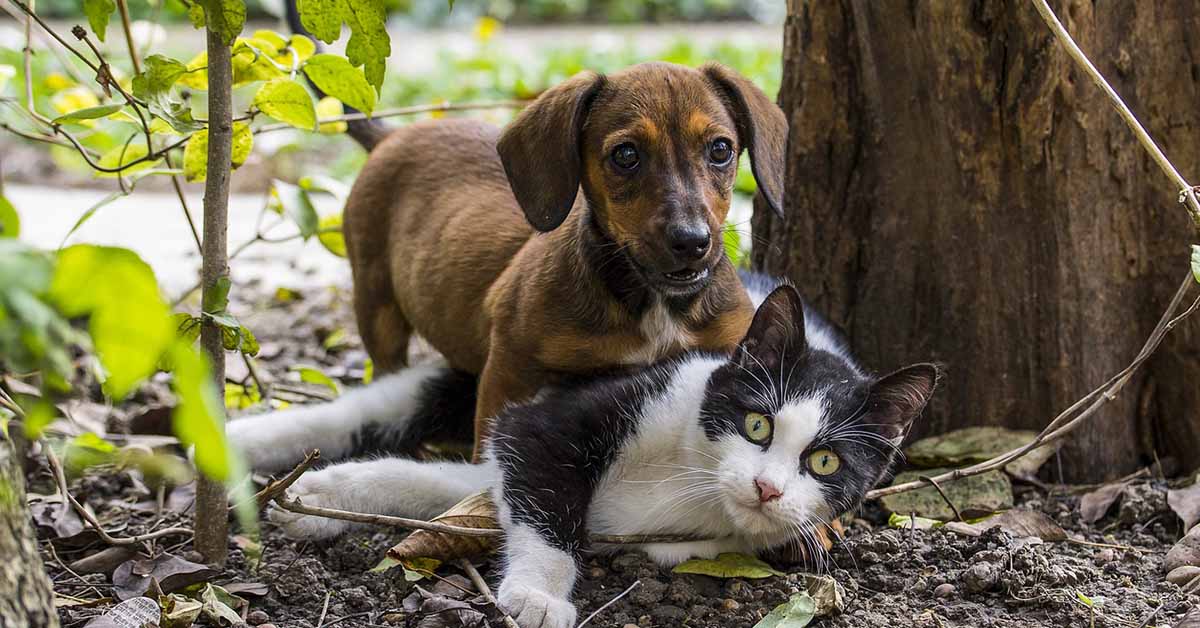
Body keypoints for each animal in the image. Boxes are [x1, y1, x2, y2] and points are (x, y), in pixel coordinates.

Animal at [225, 278, 936, 628]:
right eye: (757, 424)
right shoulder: (563, 416)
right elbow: (542, 489)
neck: (693, 475)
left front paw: (321, 496)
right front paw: (538, 595)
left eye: (825, 463)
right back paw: (233, 442)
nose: (767, 489)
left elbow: (457, 486)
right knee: (376, 405)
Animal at [343, 62, 787, 456]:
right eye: (626, 155)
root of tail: (390, 136)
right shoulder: (509, 367)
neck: (652, 303)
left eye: (720, 149)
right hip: (376, 305)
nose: (692, 242)